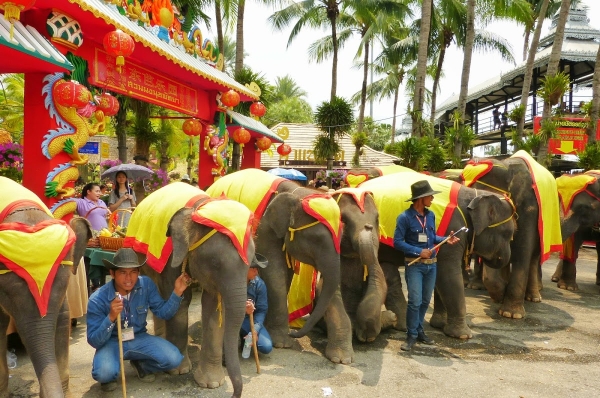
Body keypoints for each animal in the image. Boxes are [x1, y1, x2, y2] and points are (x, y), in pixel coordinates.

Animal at [124, 183, 255, 398]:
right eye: (215, 263)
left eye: (251, 262)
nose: (234, 394)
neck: (200, 209)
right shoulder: (171, 256)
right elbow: (180, 299)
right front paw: (179, 371)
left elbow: (213, 306)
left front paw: (212, 384)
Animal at [209, 169, 354, 364]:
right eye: (317, 239)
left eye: (342, 238)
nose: (295, 333)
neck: (295, 192)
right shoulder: (264, 227)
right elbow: (274, 271)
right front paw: (282, 342)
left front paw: (342, 359)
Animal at [360, 171, 516, 338]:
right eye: (508, 233)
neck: (474, 194)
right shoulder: (452, 226)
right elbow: (447, 273)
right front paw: (463, 335)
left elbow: (438, 272)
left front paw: (440, 325)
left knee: (388, 273)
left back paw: (401, 325)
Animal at [462, 151, 564, 318]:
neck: (506, 166)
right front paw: (500, 294)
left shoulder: (530, 207)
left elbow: (523, 250)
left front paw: (511, 314)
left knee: (533, 258)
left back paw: (534, 298)